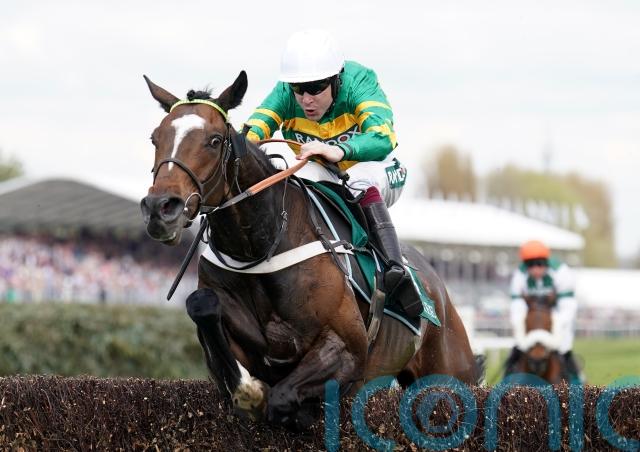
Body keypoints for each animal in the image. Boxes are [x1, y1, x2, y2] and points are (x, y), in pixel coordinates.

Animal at [140, 70, 481, 429]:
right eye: (155, 138)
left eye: (215, 140)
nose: (161, 208)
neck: (261, 248)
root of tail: (438, 285)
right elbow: (203, 307)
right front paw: (248, 390)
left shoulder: (349, 349)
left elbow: (283, 397)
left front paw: (290, 408)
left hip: (449, 369)